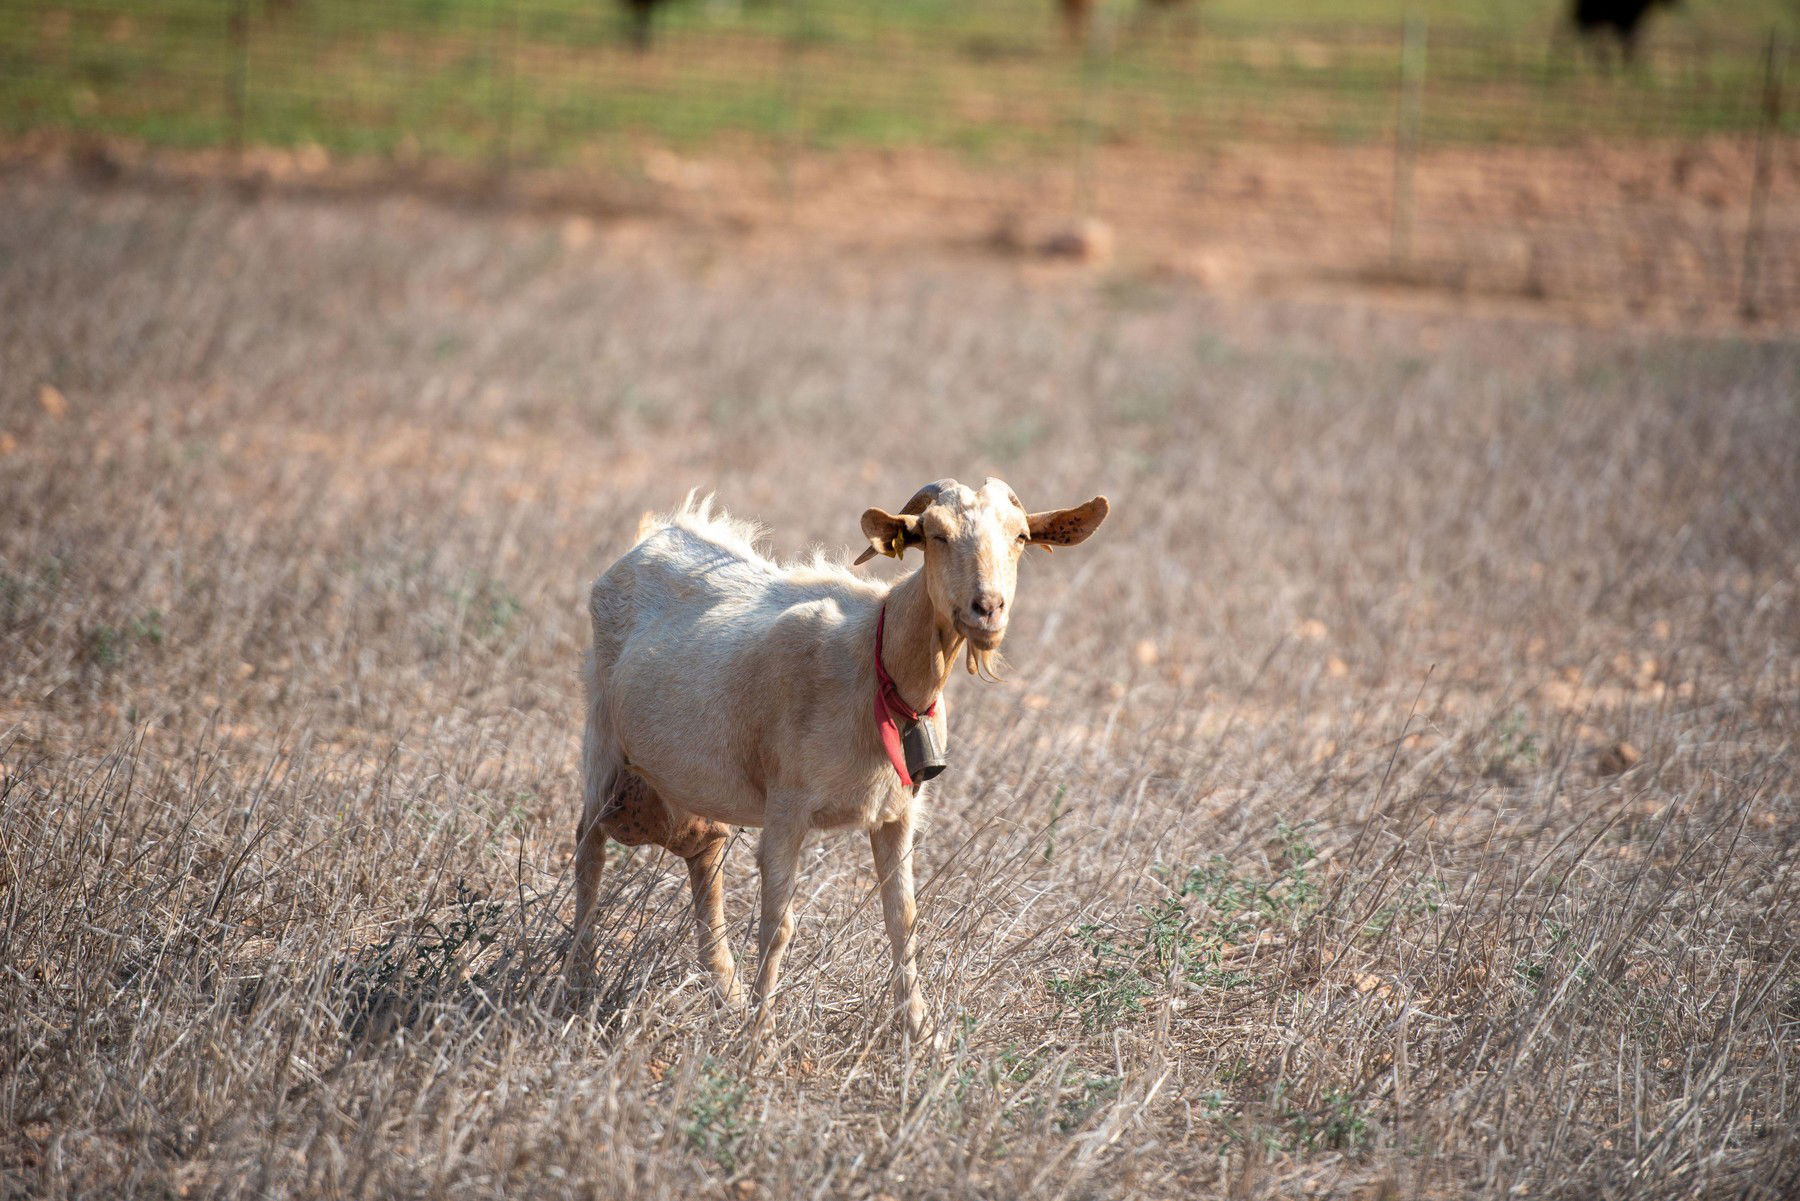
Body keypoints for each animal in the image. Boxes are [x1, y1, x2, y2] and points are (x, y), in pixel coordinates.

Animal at [561, 478, 1101, 1044]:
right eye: (935, 534)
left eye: (1020, 537)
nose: (987, 608)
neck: (878, 663)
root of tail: (658, 533)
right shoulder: (787, 807)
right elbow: (778, 925)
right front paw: (760, 1041)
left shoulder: (898, 812)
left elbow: (903, 917)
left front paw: (920, 1034)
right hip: (602, 740)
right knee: (589, 848)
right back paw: (581, 983)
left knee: (703, 853)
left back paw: (725, 992)